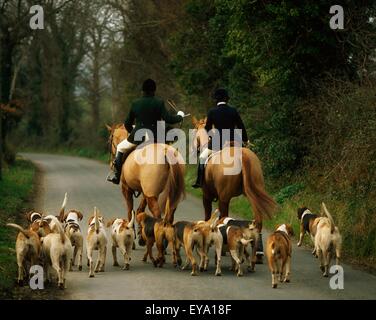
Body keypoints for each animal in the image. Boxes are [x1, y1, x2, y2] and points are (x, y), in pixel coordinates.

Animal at [192, 116, 278, 258]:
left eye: (194, 132)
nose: (193, 151)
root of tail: (242, 155)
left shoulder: (206, 196)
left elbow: (207, 216)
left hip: (224, 198)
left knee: (224, 218)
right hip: (252, 193)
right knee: (258, 220)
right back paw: (258, 252)